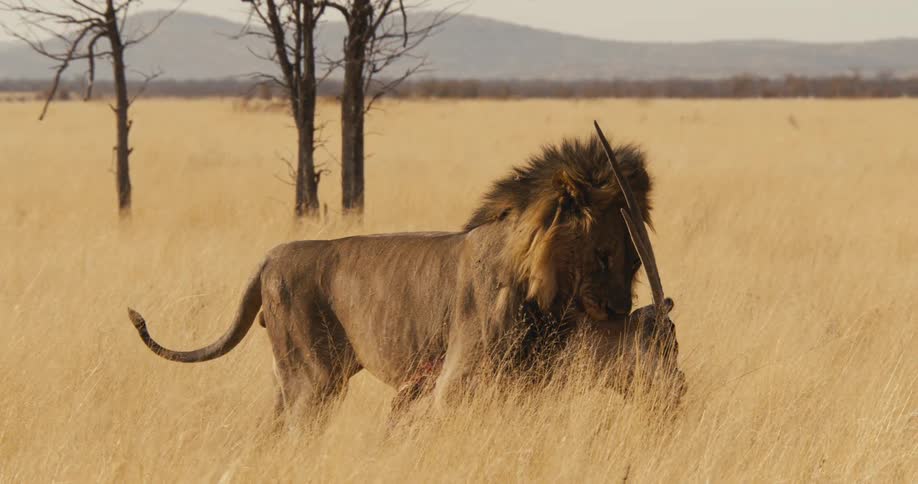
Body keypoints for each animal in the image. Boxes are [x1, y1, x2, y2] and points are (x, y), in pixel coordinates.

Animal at [127, 122, 684, 425]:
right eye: (604, 255)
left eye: (633, 261)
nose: (678, 393)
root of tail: (268, 257)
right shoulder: (457, 385)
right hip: (312, 380)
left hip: (290, 382)